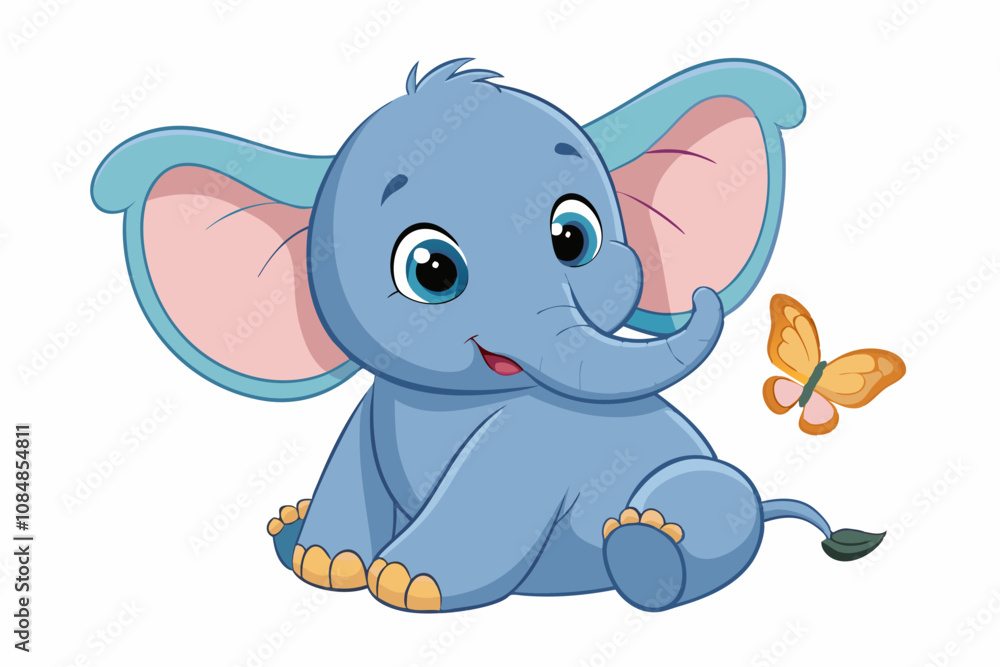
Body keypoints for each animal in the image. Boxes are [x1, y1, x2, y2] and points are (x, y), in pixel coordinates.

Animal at [92, 58, 884, 613]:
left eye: (573, 236)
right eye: (431, 269)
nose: (699, 296)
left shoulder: (533, 441)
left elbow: (488, 492)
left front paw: (404, 581)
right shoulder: (371, 414)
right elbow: (348, 467)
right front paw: (328, 564)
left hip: (710, 490)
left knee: (717, 501)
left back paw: (648, 549)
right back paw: (289, 528)